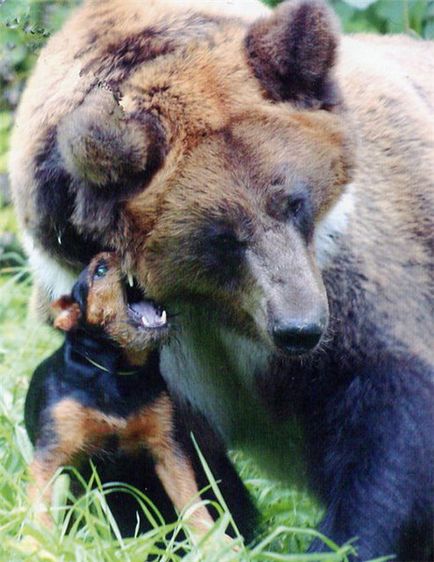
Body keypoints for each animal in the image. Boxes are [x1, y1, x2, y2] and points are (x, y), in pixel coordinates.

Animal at [23, 252, 254, 536]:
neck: (117, 372)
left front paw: (214, 541)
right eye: (100, 269)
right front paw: (38, 542)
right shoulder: (52, 456)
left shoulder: (167, 449)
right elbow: (41, 508)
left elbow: (192, 504)